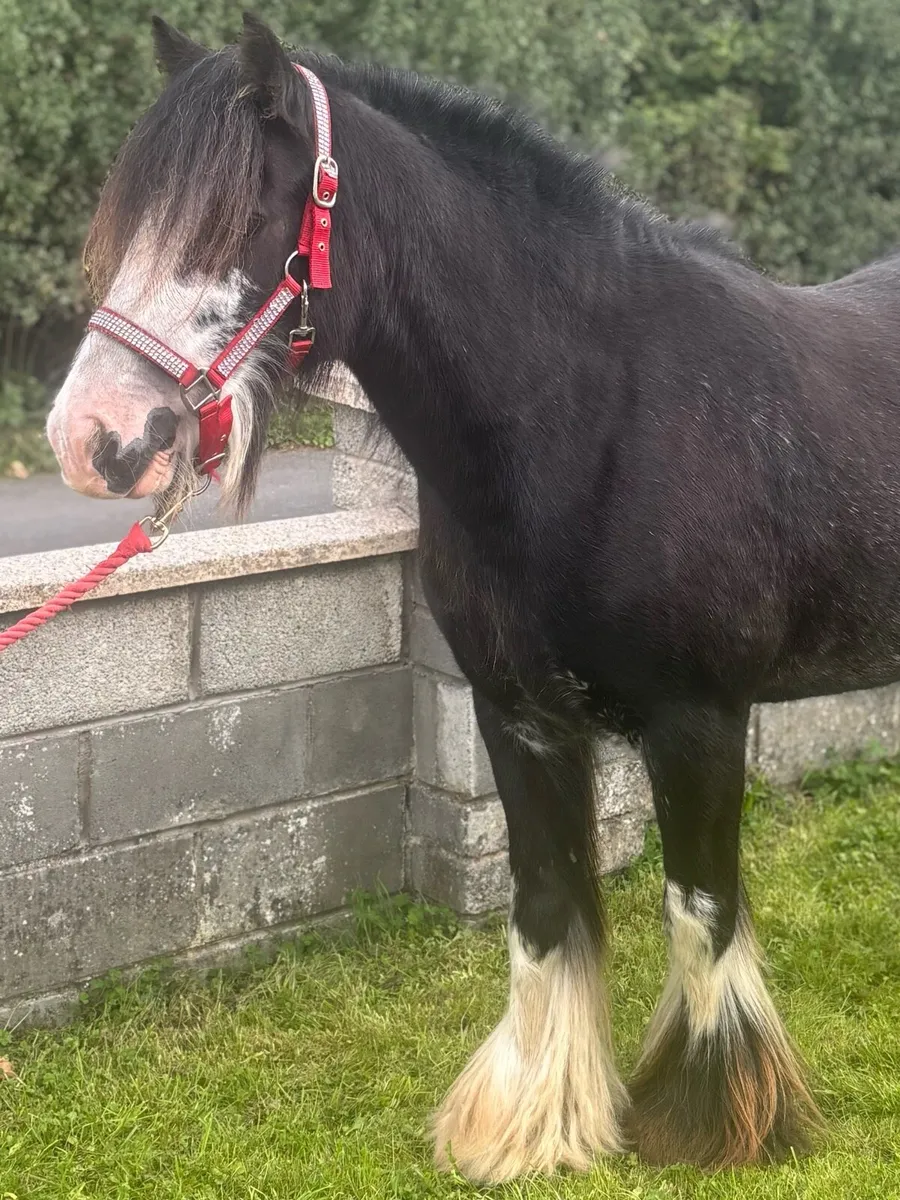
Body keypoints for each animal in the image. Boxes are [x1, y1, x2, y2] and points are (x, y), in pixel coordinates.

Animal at [46, 13, 900, 1181]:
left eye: (242, 215)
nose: (91, 438)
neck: (601, 414)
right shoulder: (518, 715)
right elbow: (543, 904)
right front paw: (533, 1125)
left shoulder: (701, 722)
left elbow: (700, 907)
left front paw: (715, 1119)